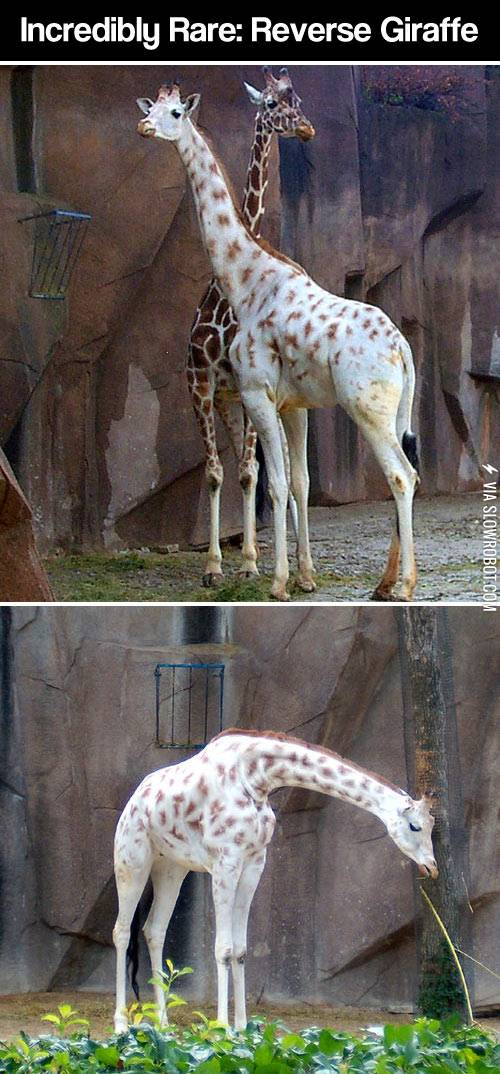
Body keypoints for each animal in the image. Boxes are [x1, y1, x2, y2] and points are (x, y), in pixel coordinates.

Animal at [113, 728, 437, 1032]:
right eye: (415, 826)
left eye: (432, 825)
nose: (432, 868)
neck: (256, 778)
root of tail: (134, 799)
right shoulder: (225, 861)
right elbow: (223, 948)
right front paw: (221, 1028)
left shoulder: (255, 862)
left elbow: (241, 950)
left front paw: (242, 1028)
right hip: (131, 860)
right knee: (122, 931)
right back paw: (121, 1024)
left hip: (171, 867)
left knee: (154, 929)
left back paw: (163, 1023)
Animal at [137, 84, 420, 602]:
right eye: (150, 108)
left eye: (175, 112)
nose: (144, 127)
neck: (246, 281)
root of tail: (402, 349)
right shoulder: (294, 404)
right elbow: (299, 482)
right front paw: (303, 576)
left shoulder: (256, 392)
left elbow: (274, 485)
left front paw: (277, 582)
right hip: (391, 409)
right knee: (407, 471)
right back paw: (385, 583)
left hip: (367, 407)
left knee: (401, 475)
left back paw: (404, 586)